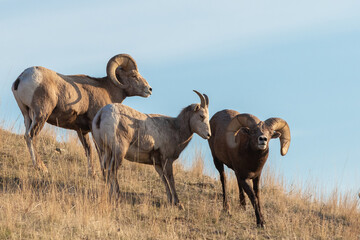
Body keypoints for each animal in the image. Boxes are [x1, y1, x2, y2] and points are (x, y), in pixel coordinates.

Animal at [11, 54, 152, 174]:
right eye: (133, 75)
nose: (149, 89)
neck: (107, 90)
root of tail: (21, 78)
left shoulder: (81, 130)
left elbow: (88, 149)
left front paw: (92, 174)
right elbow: (98, 151)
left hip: (27, 115)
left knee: (27, 135)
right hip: (41, 114)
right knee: (31, 136)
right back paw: (41, 167)